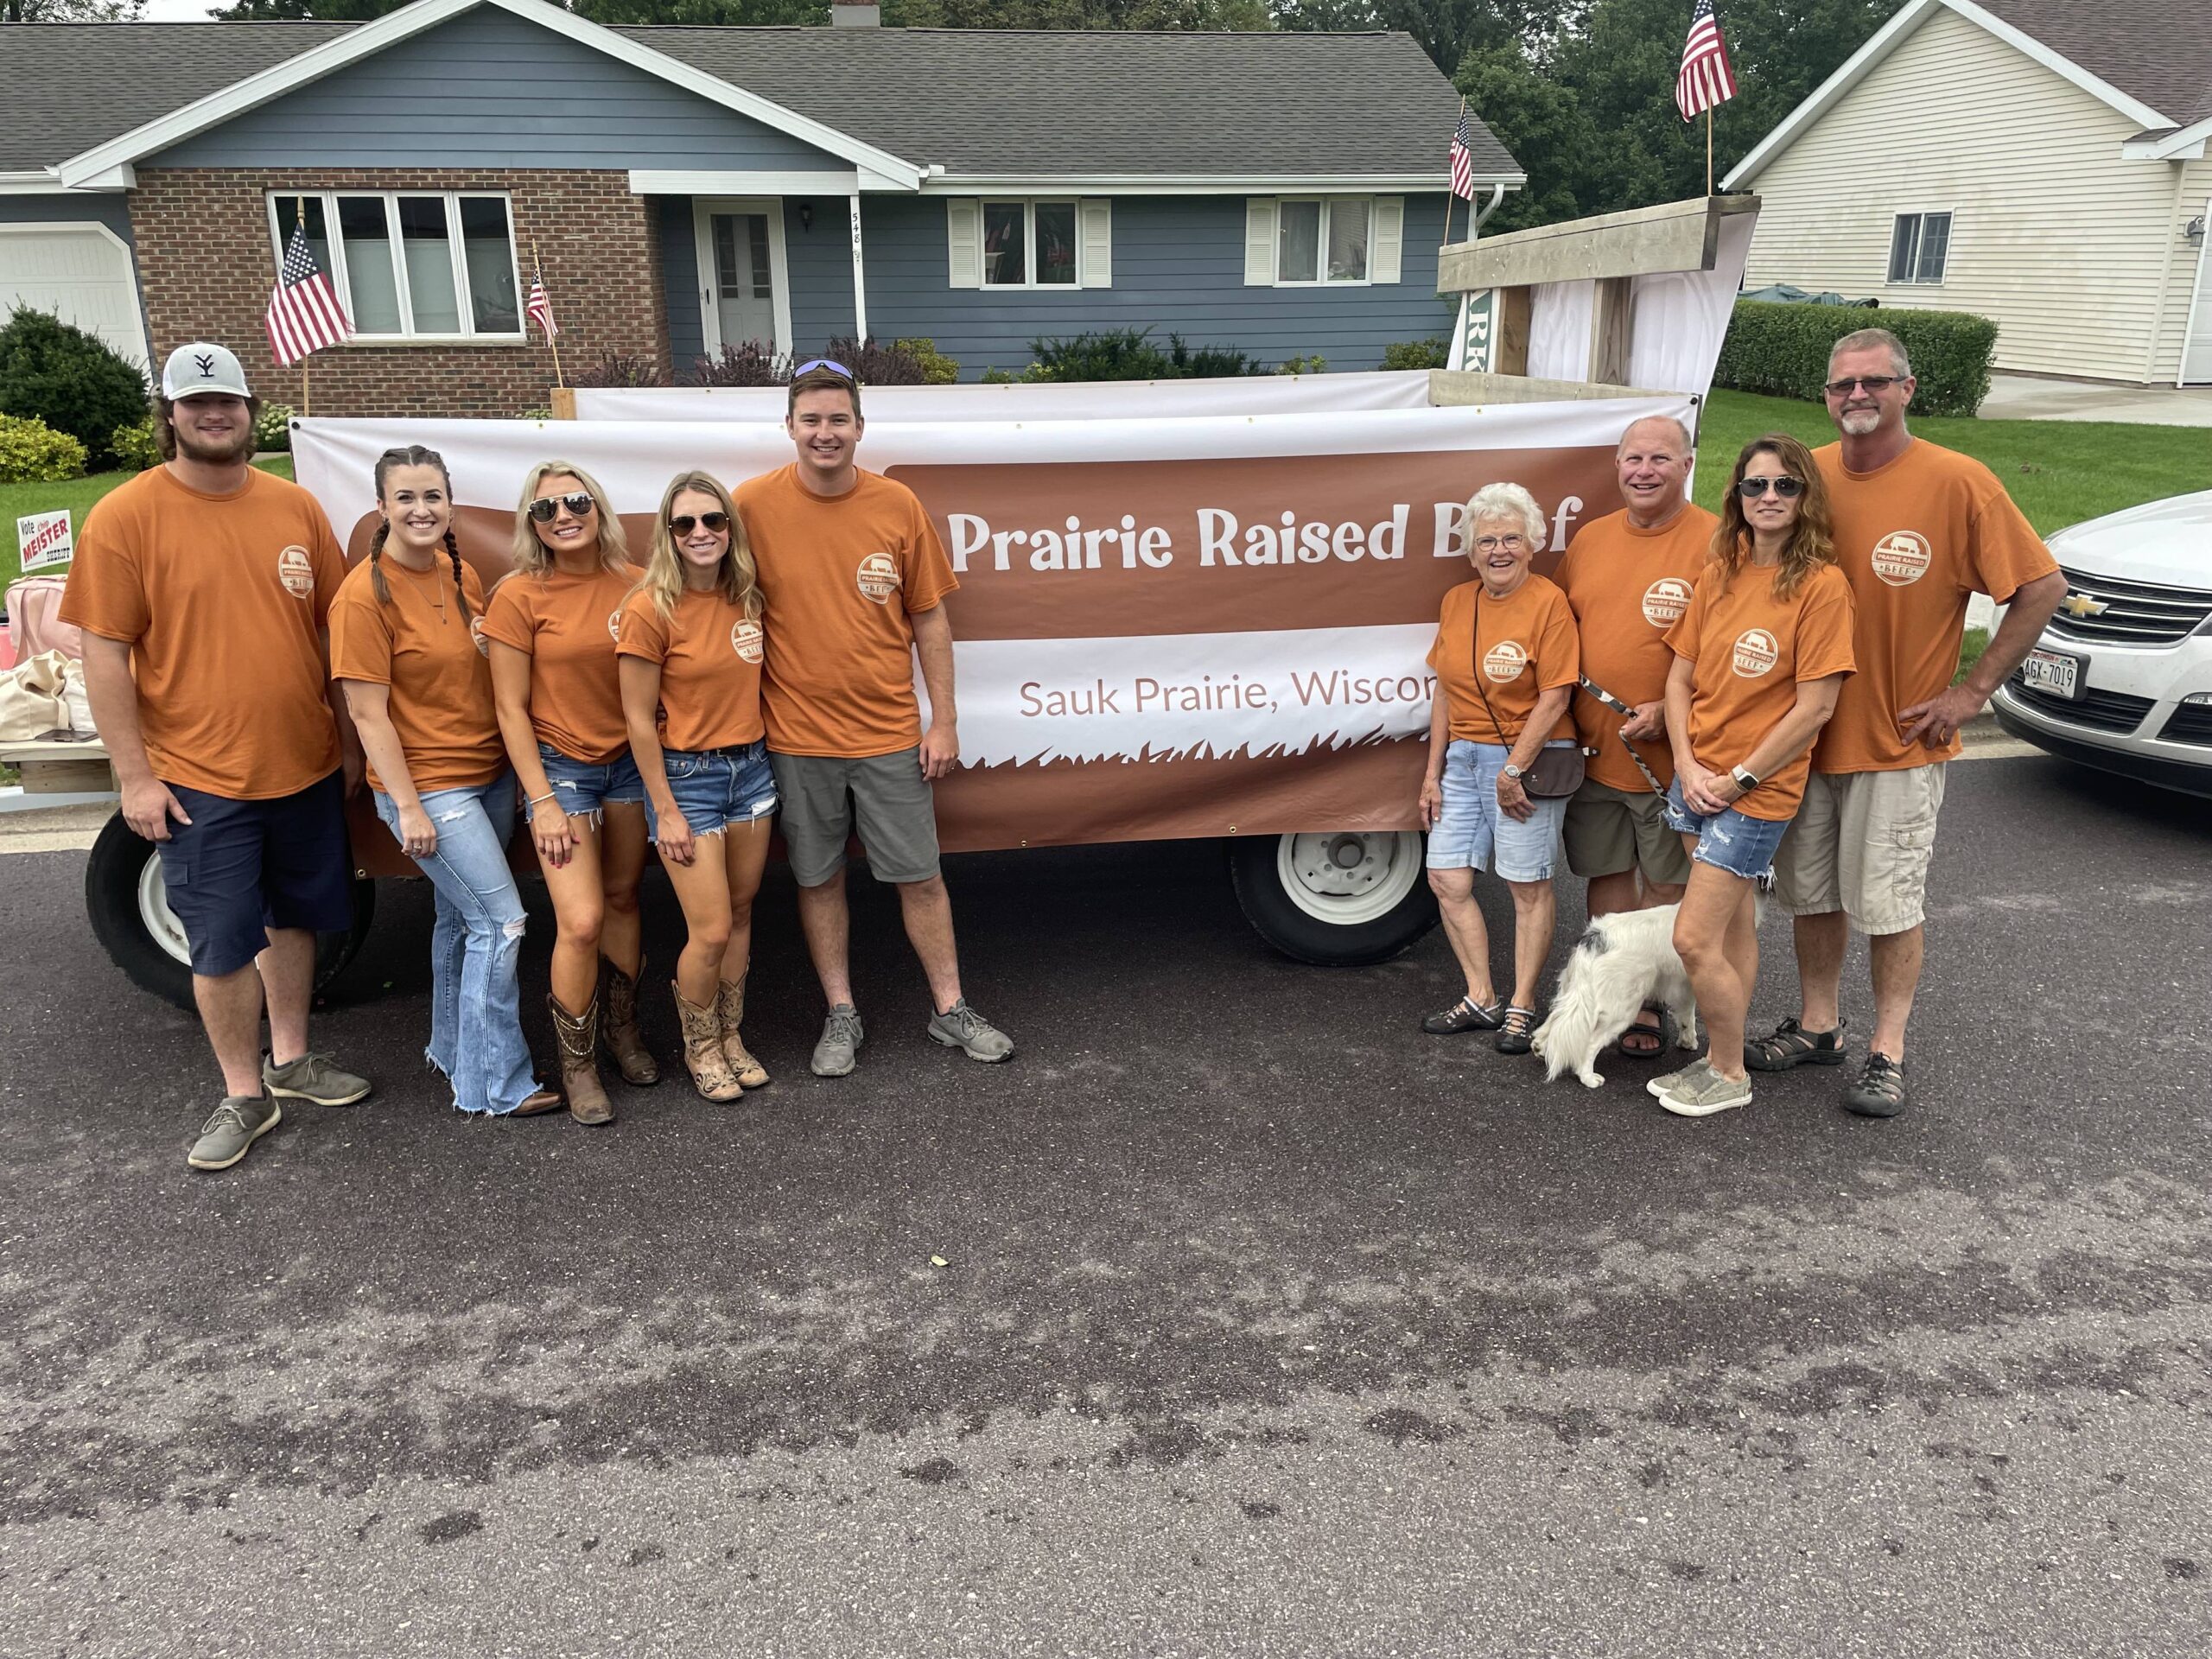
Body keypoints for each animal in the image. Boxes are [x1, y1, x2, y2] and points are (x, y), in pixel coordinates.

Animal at [1530, 902, 1699, 1096]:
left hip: (1575, 991)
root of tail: (1596, 937)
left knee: (1557, 1018)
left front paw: (1688, 1042)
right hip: (1621, 1009)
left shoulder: (1686, 986)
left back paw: (1540, 1046)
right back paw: (1589, 1078)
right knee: (1589, 1044)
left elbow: (1687, 1018)